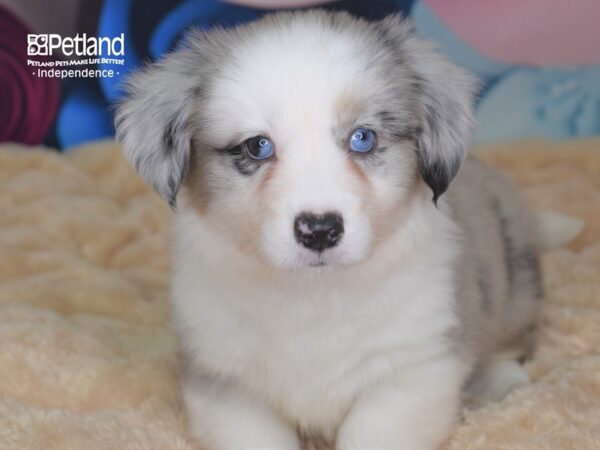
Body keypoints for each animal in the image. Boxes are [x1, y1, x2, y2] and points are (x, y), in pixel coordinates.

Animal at [116, 10, 544, 450]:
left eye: (363, 138)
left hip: (515, 278)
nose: (319, 230)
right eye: (257, 146)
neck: (313, 295)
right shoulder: (227, 385)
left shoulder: (412, 371)